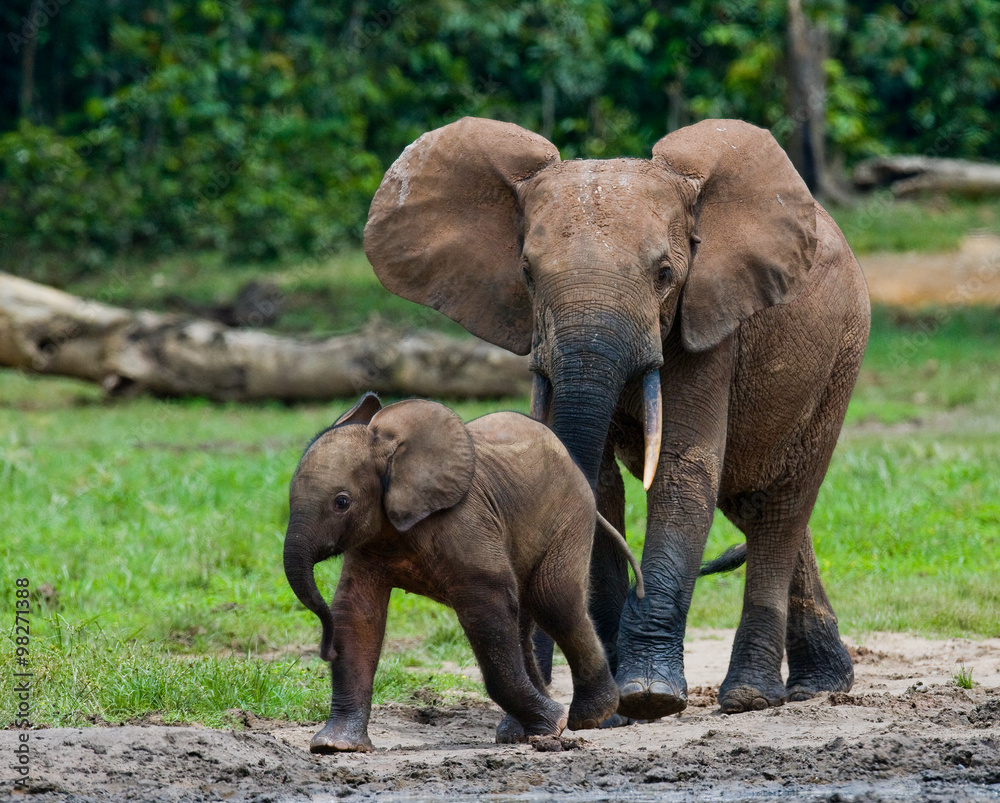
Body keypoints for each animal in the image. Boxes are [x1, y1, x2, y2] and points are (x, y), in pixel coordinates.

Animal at [283, 393, 644, 752]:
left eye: (341, 502)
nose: (325, 651)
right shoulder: (370, 542)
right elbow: (357, 615)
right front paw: (334, 747)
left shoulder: (465, 523)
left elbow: (486, 609)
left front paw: (553, 724)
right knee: (526, 616)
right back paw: (520, 733)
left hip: (569, 515)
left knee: (554, 601)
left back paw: (589, 718)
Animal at [363, 117, 870, 719]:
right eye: (527, 273)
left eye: (665, 274)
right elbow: (598, 484)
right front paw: (610, 712)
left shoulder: (707, 318)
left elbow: (682, 471)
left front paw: (649, 697)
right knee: (751, 499)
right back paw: (819, 685)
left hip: (840, 353)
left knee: (782, 505)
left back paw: (752, 697)